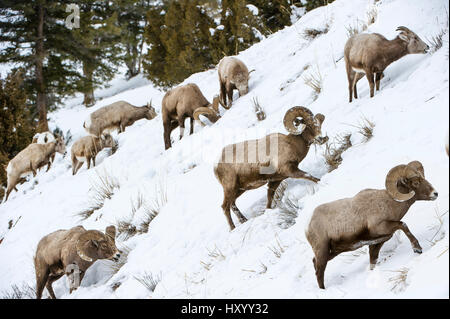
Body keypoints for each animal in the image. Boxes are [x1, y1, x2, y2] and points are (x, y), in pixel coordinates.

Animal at [308, 162, 438, 290]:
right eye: (416, 183)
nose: (435, 193)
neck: (389, 203)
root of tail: (308, 226)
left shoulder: (377, 242)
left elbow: (373, 261)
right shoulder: (381, 227)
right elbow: (403, 225)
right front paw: (417, 249)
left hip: (333, 252)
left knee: (315, 263)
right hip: (323, 252)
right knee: (319, 272)